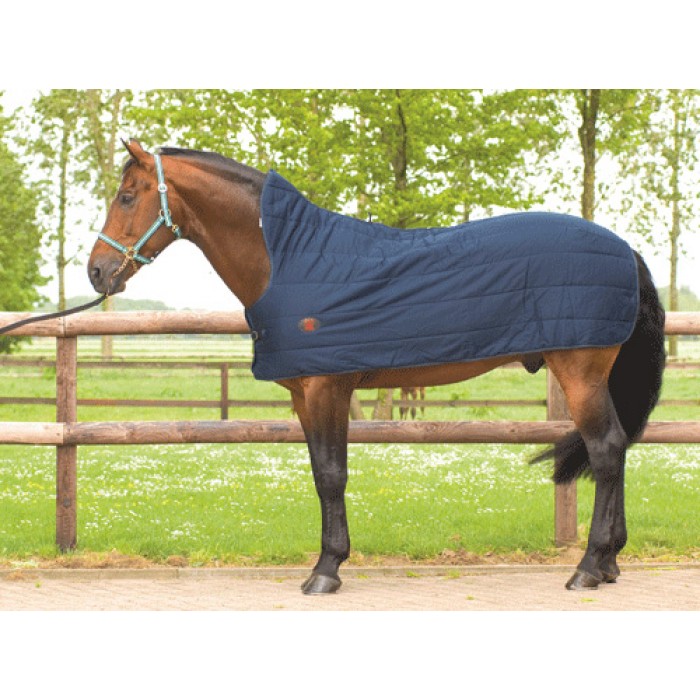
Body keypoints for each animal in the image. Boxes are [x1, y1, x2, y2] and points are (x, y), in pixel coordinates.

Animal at [88, 140, 665, 595]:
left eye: (127, 195)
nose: (97, 272)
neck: (287, 259)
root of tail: (628, 251)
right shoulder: (305, 394)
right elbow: (323, 472)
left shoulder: (326, 388)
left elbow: (330, 474)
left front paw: (325, 570)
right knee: (616, 448)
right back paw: (609, 563)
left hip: (580, 374)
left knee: (606, 450)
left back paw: (588, 568)